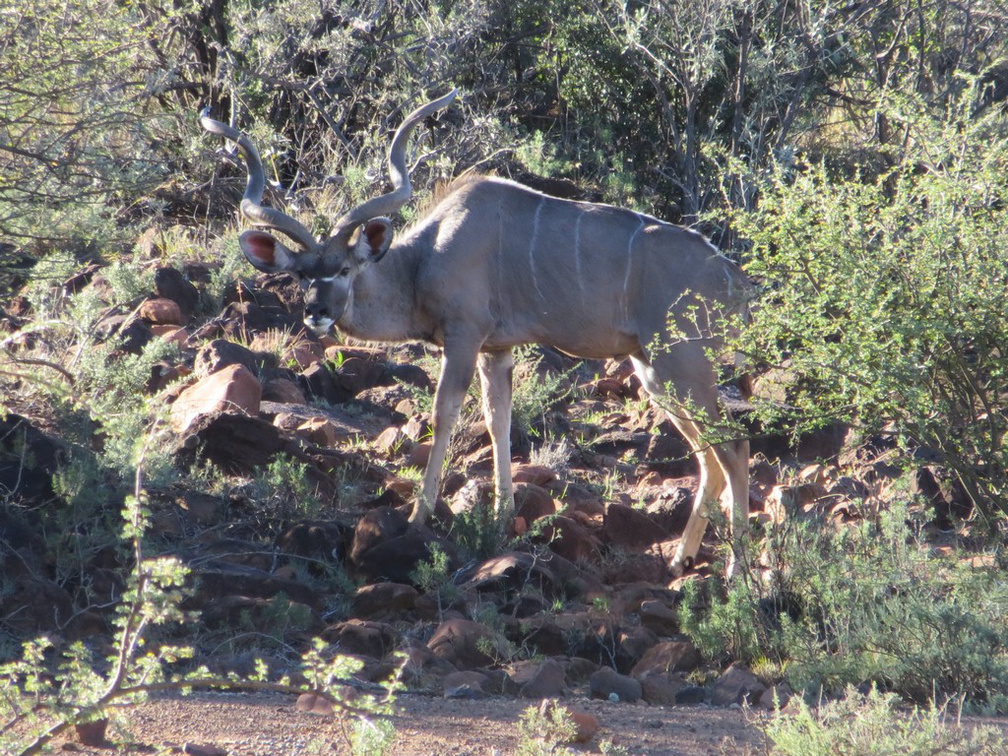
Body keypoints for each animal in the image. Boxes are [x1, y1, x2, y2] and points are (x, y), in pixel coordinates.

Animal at [200, 90, 753, 572]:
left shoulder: (464, 336)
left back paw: (739, 575)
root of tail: (731, 277)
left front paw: (418, 516)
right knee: (710, 455)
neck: (425, 257)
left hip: (681, 364)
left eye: (343, 269)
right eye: (299, 274)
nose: (316, 312)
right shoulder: (497, 350)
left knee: (735, 447)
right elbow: (497, 419)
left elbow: (444, 413)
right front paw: (503, 516)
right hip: (653, 369)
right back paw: (681, 559)